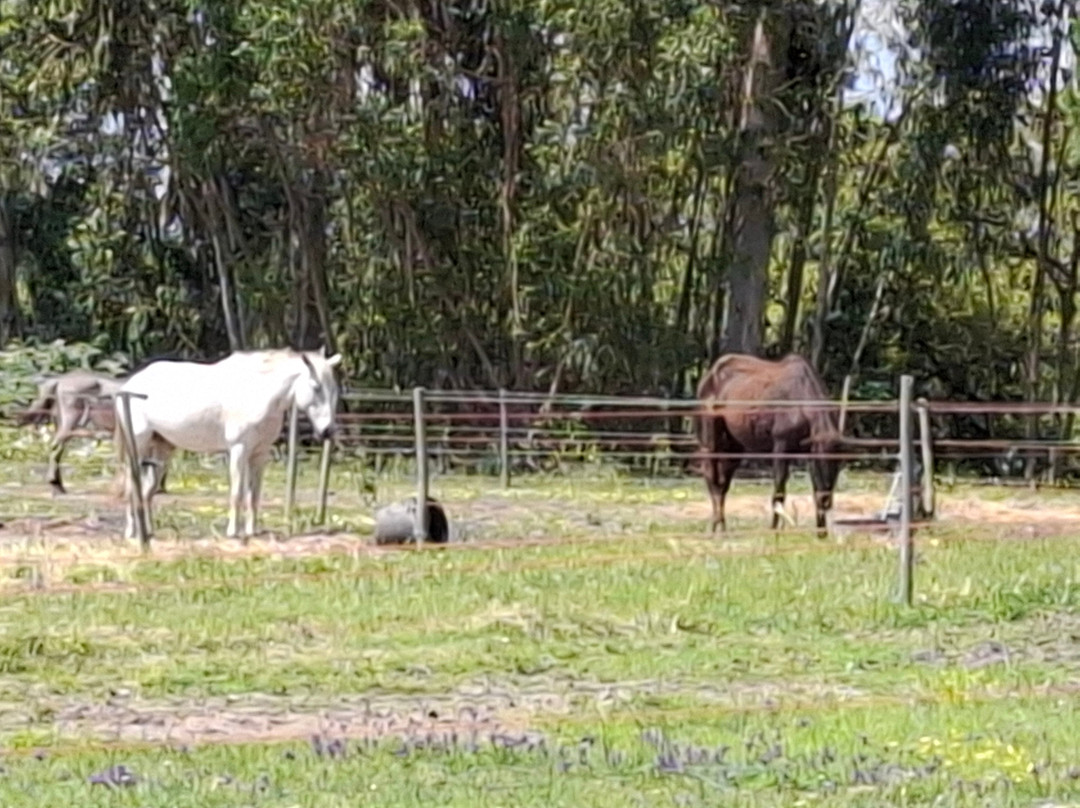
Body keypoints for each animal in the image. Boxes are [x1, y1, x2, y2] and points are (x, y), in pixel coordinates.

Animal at [116, 347, 341, 541]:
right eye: (316, 387)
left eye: (334, 389)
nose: (328, 431)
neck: (257, 393)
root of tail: (127, 387)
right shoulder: (238, 450)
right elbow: (237, 492)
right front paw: (233, 532)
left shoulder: (259, 454)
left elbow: (254, 494)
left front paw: (252, 531)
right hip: (138, 446)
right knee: (132, 487)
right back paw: (132, 532)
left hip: (162, 450)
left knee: (147, 491)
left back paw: (148, 532)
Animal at [694, 353, 841, 537]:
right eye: (822, 460)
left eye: (839, 465)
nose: (827, 499)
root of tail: (707, 377)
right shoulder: (781, 447)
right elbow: (779, 492)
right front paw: (773, 529)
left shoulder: (808, 453)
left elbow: (813, 491)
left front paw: (821, 532)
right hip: (710, 439)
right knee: (711, 476)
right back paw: (714, 526)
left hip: (733, 445)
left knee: (723, 481)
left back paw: (722, 527)